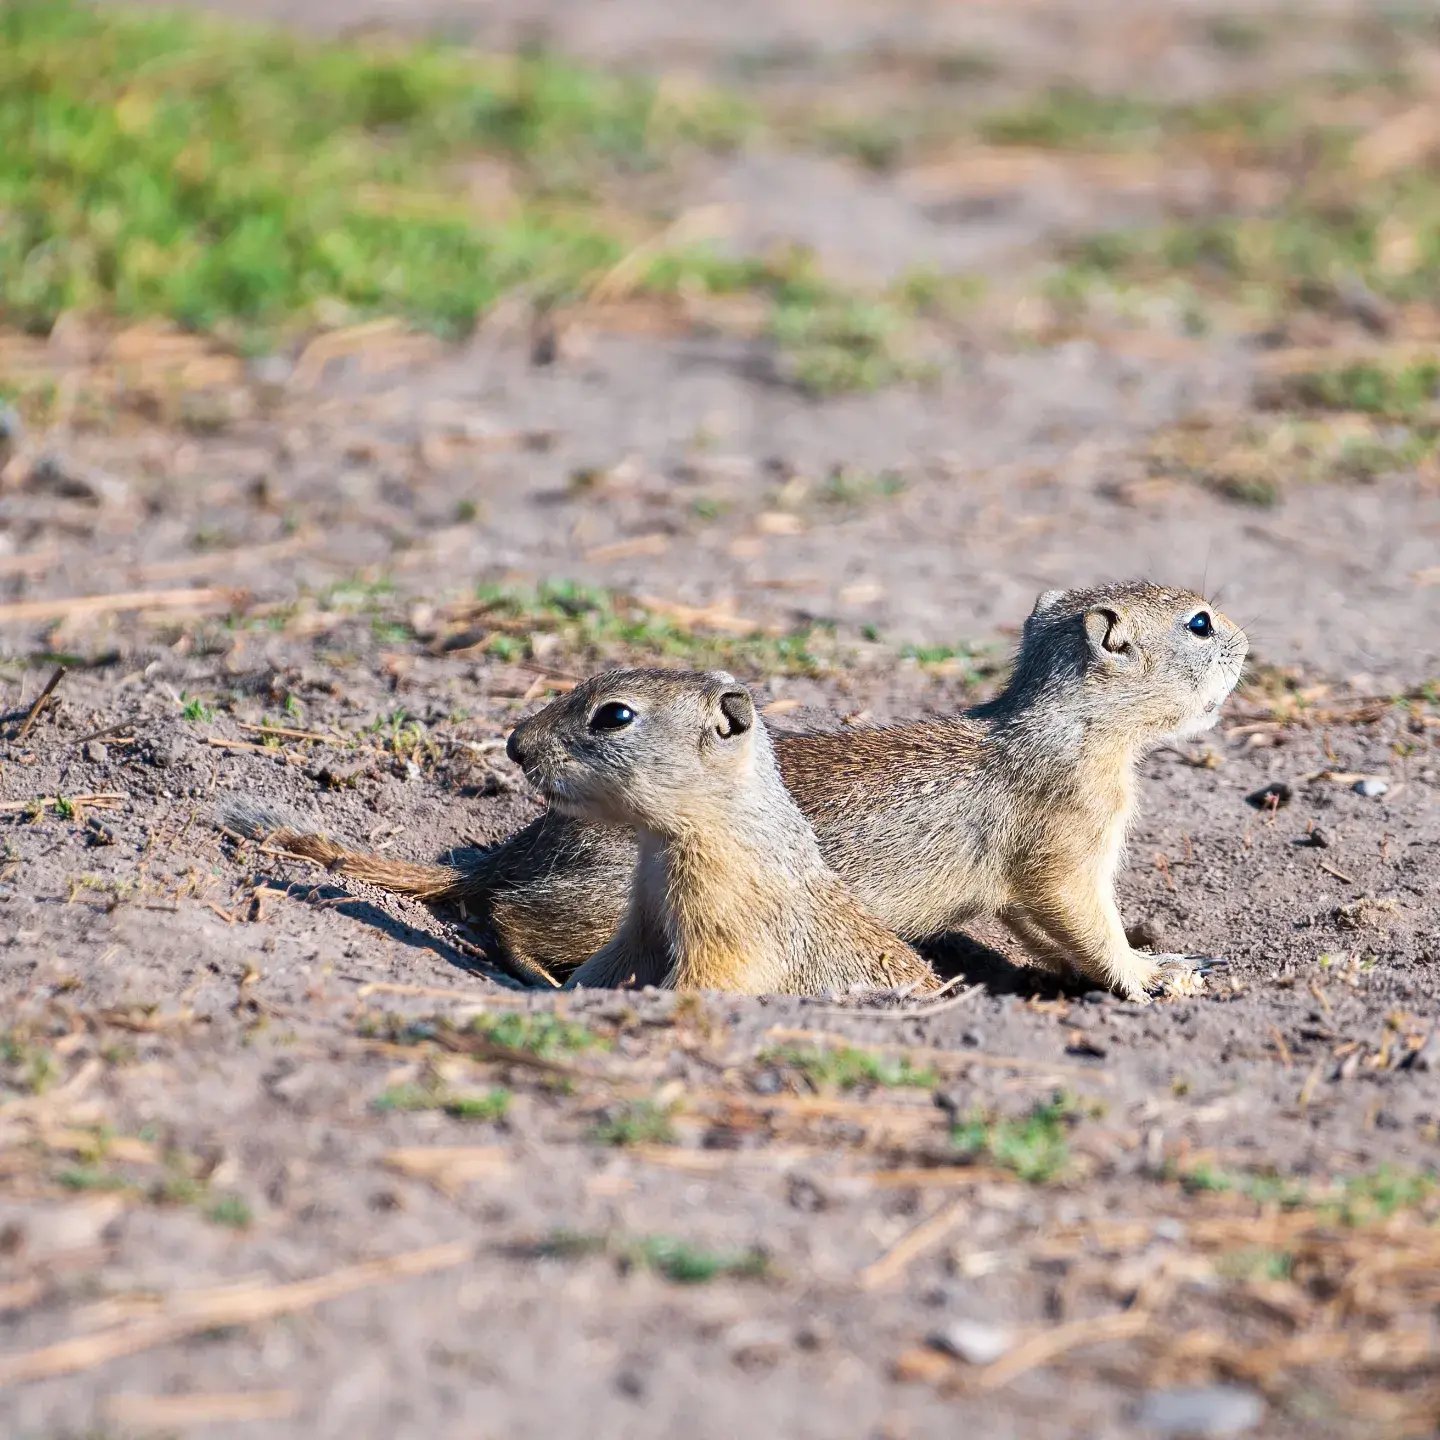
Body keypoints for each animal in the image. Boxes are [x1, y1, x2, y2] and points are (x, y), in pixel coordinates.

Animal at [216, 581, 1249, 1002]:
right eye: (1199, 623)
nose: (1248, 642)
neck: (1069, 724)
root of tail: (515, 850)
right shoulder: (1066, 847)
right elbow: (1078, 920)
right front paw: (1150, 974)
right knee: (506, 913)